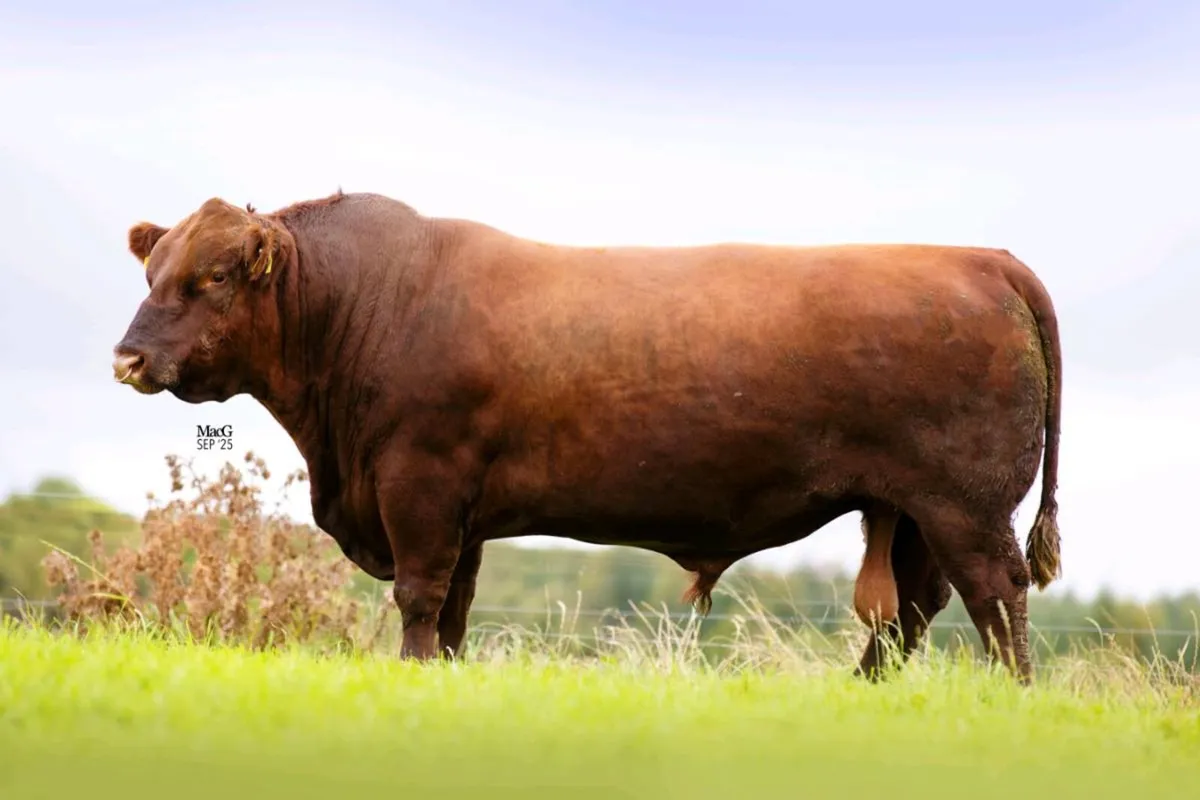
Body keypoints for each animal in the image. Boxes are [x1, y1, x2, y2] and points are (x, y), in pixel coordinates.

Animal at [111, 190, 1063, 683]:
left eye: (215, 276)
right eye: (152, 271)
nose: (128, 357)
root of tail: (983, 257)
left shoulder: (420, 485)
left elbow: (419, 596)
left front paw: (412, 676)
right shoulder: (464, 513)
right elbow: (454, 607)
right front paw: (445, 677)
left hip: (965, 504)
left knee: (995, 595)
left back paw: (1011, 693)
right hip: (915, 510)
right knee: (915, 607)